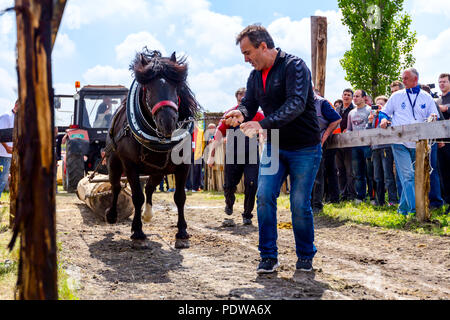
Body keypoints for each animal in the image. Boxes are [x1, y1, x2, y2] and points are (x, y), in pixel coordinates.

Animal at [105, 48, 200, 249]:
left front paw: (182, 233)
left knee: (149, 187)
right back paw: (112, 215)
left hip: (158, 171)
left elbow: (180, 197)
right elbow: (136, 197)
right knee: (116, 186)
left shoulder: (184, 166)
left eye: (176, 87)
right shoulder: (130, 165)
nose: (168, 122)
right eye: (148, 89)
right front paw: (137, 233)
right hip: (114, 162)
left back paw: (147, 215)